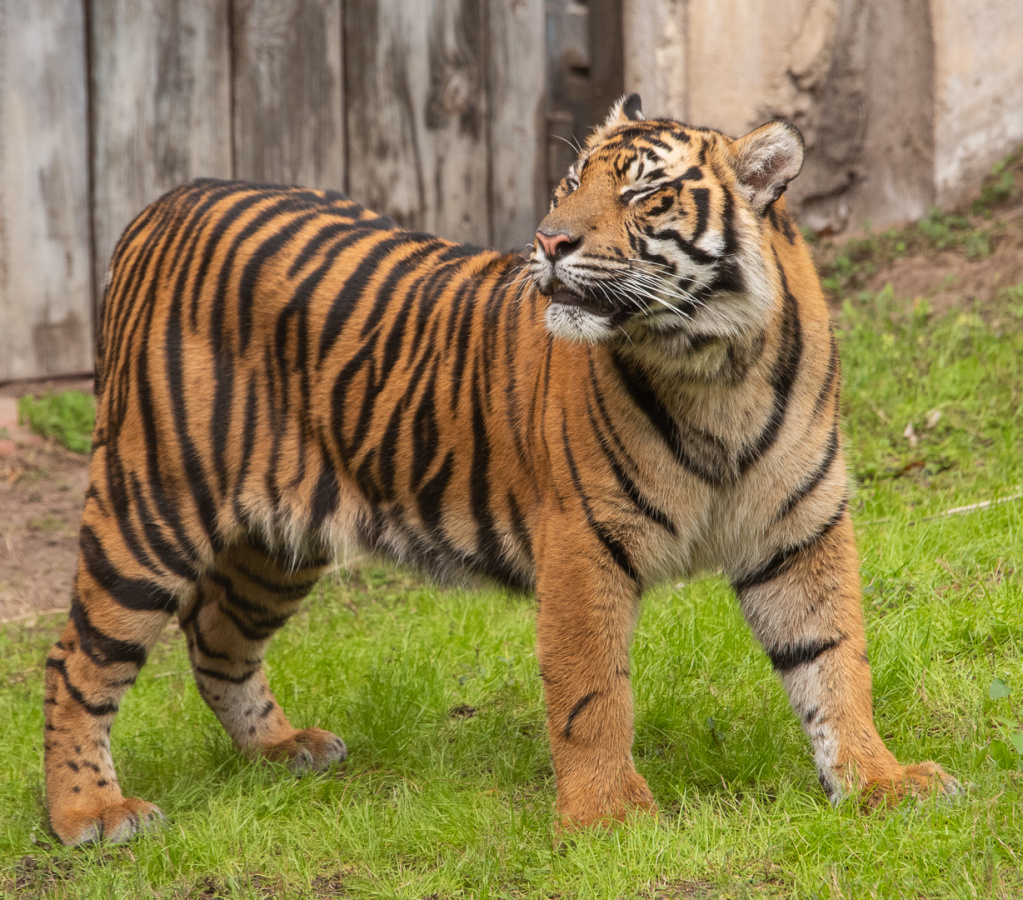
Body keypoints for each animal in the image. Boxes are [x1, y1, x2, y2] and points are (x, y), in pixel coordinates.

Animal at [43, 94, 960, 846]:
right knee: (75, 661)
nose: (549, 241)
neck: (715, 366)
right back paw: (90, 815)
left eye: (642, 194)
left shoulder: (801, 531)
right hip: (151, 507)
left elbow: (834, 663)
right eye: (570, 182)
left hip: (279, 542)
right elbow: (592, 695)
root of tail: (171, 198)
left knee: (215, 637)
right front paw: (606, 819)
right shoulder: (584, 543)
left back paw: (280, 749)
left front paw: (879, 782)